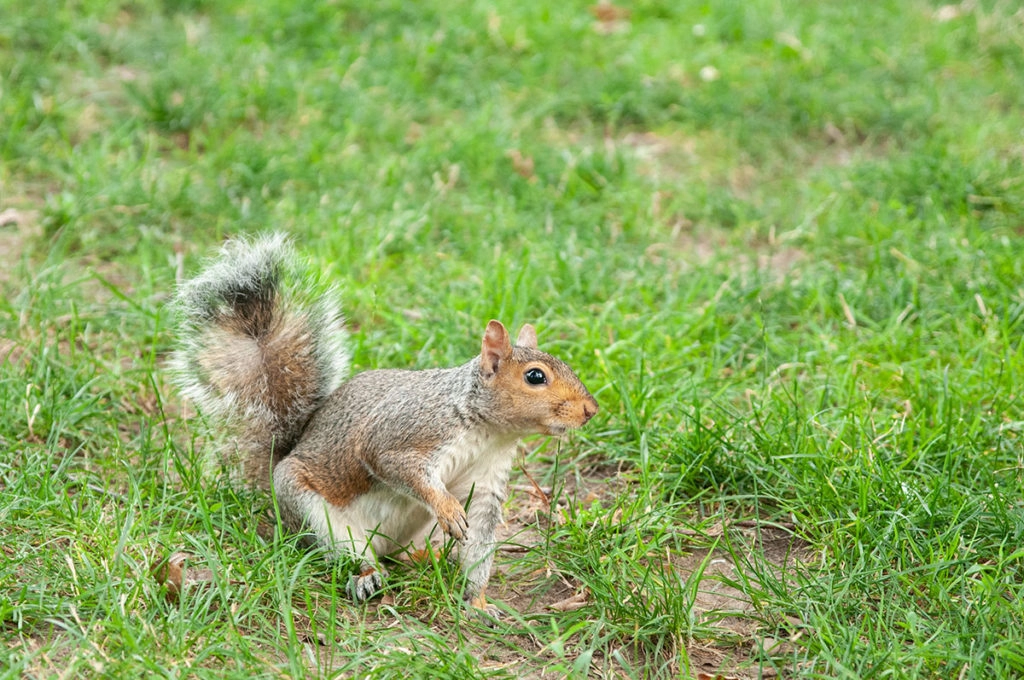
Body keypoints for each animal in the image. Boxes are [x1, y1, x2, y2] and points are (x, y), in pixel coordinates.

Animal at [170, 233, 599, 617]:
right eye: (535, 376)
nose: (590, 410)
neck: (489, 433)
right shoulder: (407, 430)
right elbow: (395, 465)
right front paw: (446, 507)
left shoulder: (488, 481)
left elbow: (479, 541)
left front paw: (478, 602)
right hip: (317, 515)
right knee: (354, 554)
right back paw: (367, 575)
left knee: (401, 554)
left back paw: (426, 557)